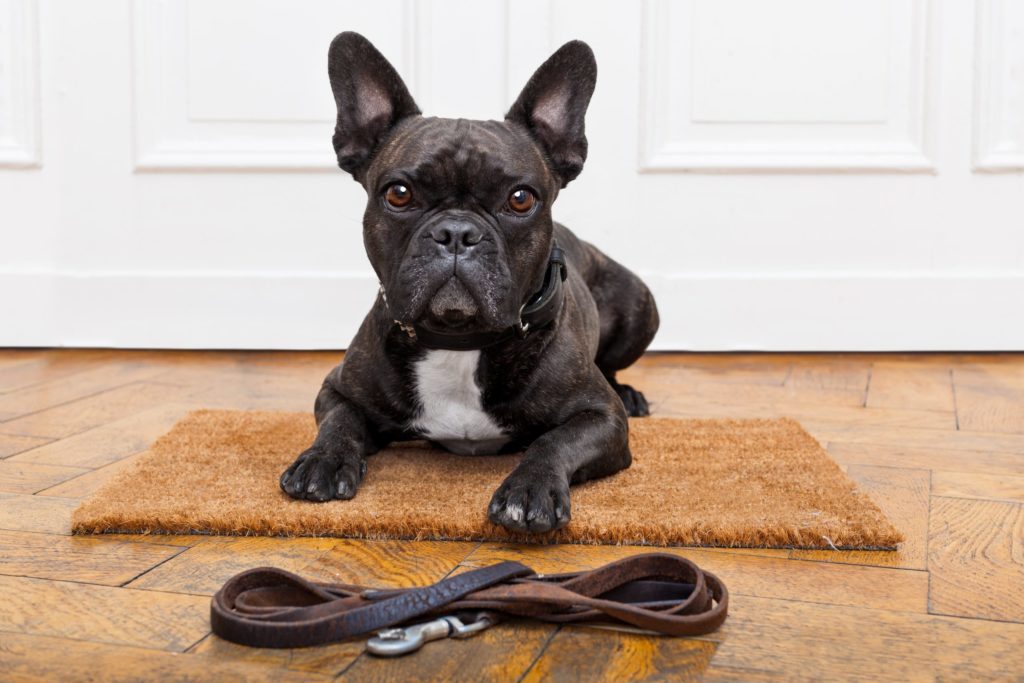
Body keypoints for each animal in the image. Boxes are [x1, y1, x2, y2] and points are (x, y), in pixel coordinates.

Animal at [278, 31, 655, 532]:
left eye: (521, 199)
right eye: (399, 194)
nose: (457, 233)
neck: (460, 342)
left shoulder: (601, 418)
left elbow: (554, 441)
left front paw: (529, 489)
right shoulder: (338, 389)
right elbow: (339, 423)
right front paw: (322, 460)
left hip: (639, 308)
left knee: (613, 368)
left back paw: (629, 393)